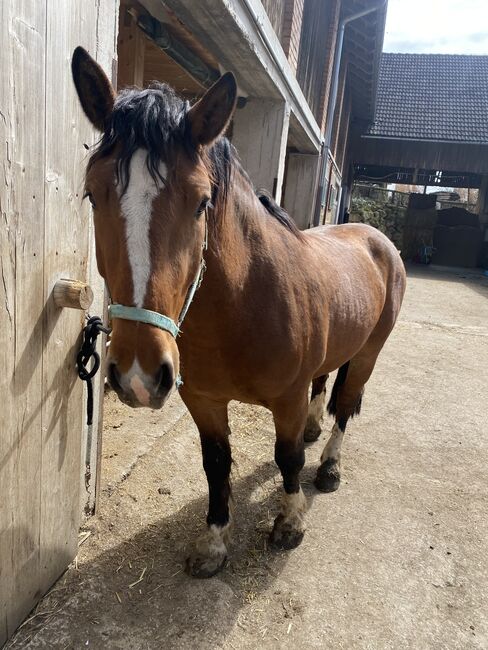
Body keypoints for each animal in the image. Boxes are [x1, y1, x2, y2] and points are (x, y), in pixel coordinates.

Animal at [72, 48, 406, 580]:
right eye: (91, 193)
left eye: (201, 201)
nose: (138, 374)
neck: (244, 307)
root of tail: (377, 238)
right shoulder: (203, 400)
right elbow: (216, 463)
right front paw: (213, 543)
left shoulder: (286, 399)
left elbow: (288, 458)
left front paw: (290, 524)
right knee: (324, 384)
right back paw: (316, 430)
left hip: (369, 353)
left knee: (348, 403)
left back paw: (330, 466)